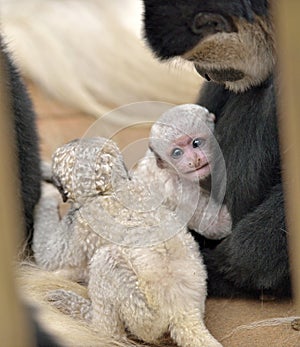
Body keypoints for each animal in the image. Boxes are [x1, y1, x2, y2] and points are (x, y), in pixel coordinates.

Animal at [33, 137, 223, 346]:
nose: (57, 187)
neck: (112, 186)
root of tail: (185, 312)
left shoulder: (79, 224)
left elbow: (46, 257)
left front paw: (46, 193)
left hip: (143, 314)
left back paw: (77, 308)